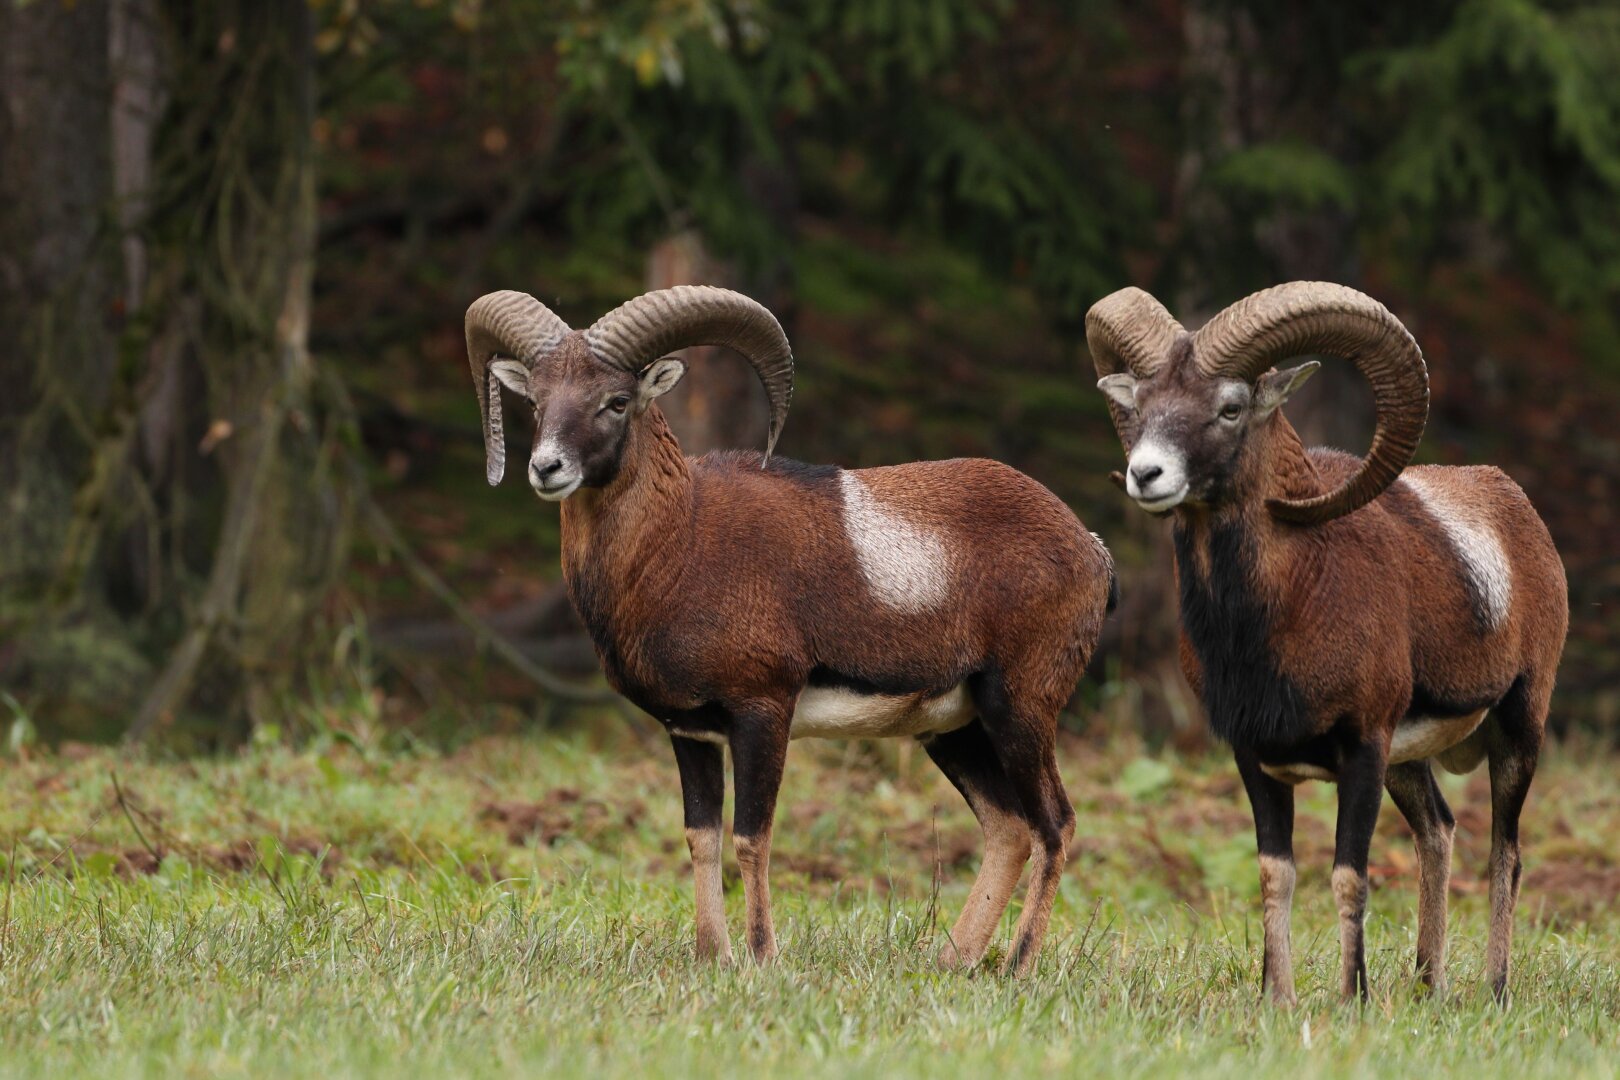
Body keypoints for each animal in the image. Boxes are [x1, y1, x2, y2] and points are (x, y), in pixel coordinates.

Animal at [465, 285, 1115, 973]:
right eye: (536, 399)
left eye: (616, 401)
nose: (547, 467)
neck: (677, 544)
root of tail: (1092, 550)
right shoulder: (690, 732)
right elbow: (702, 840)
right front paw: (712, 956)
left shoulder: (762, 713)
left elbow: (752, 838)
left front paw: (761, 957)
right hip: (955, 730)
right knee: (1008, 829)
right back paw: (951, 962)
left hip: (1020, 710)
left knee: (1054, 824)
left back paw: (1017, 967)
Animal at [1087, 281, 1568, 1003]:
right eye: (1140, 405)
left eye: (1230, 407)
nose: (1147, 475)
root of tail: (1521, 513)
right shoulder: (1255, 758)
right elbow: (1276, 873)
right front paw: (1276, 998)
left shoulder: (1362, 750)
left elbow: (1348, 876)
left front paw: (1352, 999)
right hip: (1408, 764)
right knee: (1438, 833)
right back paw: (1427, 989)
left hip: (1517, 730)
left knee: (1503, 854)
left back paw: (1495, 991)